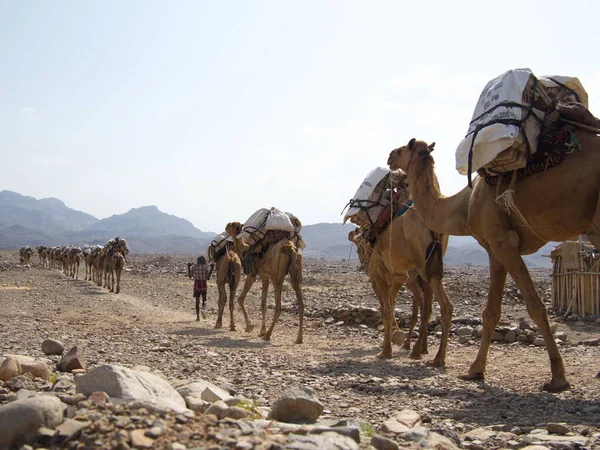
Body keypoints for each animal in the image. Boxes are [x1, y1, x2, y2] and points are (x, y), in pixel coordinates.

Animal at [344, 206, 452, 364]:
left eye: (358, 249)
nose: (363, 265)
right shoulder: (397, 278)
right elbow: (391, 305)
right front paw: (393, 337)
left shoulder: (381, 278)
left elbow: (386, 309)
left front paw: (386, 349)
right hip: (429, 271)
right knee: (431, 307)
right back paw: (425, 352)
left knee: (428, 306)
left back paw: (420, 350)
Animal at [386, 134, 600, 390]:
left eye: (401, 149)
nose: (389, 157)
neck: (464, 205)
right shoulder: (493, 248)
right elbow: (491, 312)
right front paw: (476, 370)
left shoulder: (501, 241)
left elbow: (535, 305)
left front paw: (558, 377)